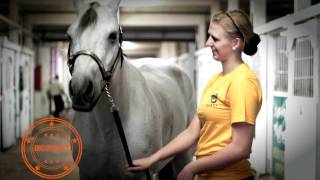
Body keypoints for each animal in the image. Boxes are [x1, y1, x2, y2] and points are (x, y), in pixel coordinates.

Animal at [67, 0, 195, 179]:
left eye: (113, 36)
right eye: (69, 36)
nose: (80, 89)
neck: (110, 130)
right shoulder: (87, 174)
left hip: (184, 156)